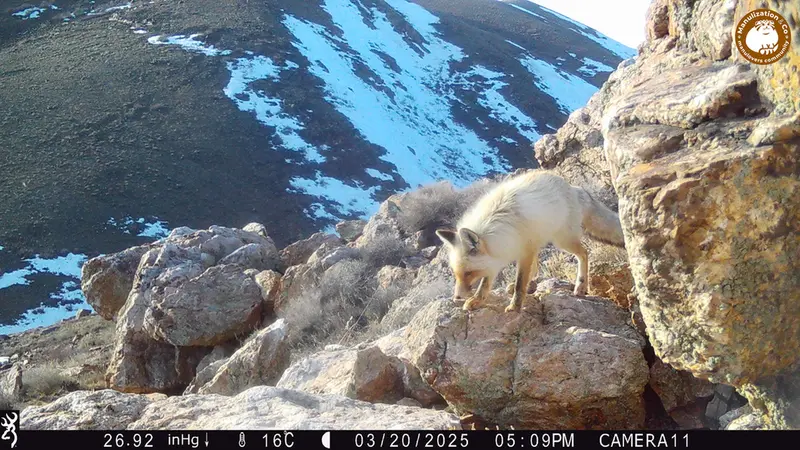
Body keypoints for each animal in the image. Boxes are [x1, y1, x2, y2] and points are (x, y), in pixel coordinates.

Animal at [435, 169, 626, 313]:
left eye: (468, 273)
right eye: (456, 274)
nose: (457, 297)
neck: (497, 226)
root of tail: (574, 188)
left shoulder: (522, 250)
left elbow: (520, 284)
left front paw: (515, 306)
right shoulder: (499, 255)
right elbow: (486, 283)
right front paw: (477, 300)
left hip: (561, 240)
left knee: (584, 253)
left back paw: (580, 287)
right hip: (539, 239)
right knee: (537, 265)